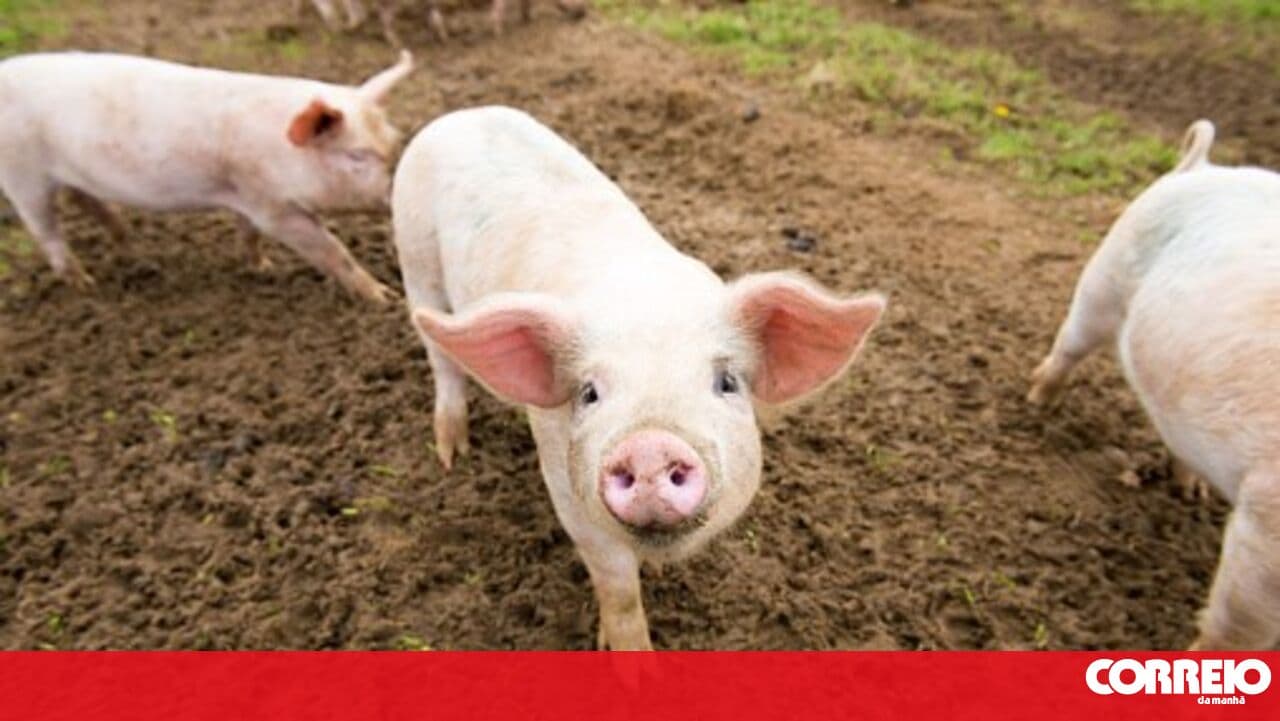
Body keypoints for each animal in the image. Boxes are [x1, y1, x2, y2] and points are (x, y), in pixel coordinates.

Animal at [0, 50, 415, 302]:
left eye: (394, 141)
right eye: (356, 155)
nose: (397, 193)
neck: (282, 152)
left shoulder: (245, 195)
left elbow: (248, 234)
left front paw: (263, 268)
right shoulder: (273, 207)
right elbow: (332, 250)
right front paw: (385, 298)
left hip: (71, 175)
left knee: (85, 200)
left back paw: (132, 250)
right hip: (23, 176)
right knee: (46, 232)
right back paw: (86, 286)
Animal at [392, 106, 886, 649]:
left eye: (727, 382)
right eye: (589, 393)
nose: (650, 445)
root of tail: (461, 115)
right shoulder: (566, 489)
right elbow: (619, 590)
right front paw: (625, 650)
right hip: (414, 254)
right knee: (441, 357)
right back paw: (451, 454)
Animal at [1028, 119, 1280, 650]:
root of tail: (1202, 165)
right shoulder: (1269, 512)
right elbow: (1238, 624)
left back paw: (1190, 494)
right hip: (1102, 281)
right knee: (1068, 346)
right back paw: (1038, 402)